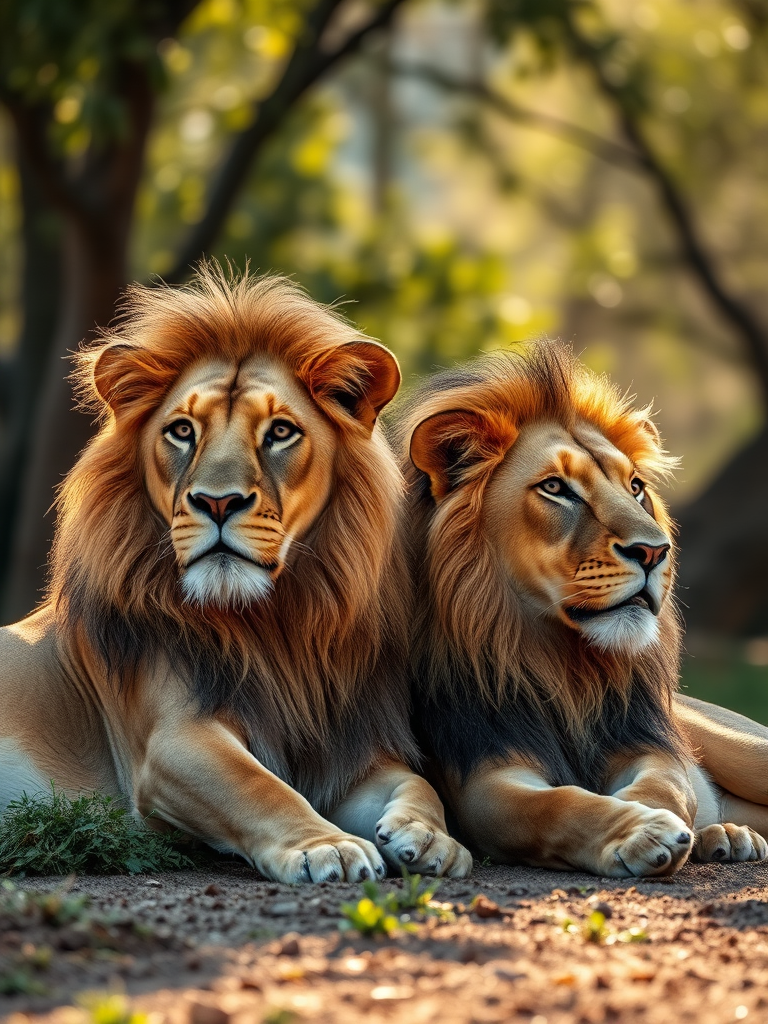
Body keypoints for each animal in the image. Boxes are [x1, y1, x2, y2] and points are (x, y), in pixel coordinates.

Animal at [0, 263, 472, 883]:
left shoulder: (344, 750)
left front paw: (430, 836)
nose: (217, 502)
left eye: (280, 432)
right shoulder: (173, 742)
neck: (276, 624)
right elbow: (259, 788)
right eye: (181, 431)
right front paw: (327, 846)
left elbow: (417, 783)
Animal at [400, 340, 768, 877]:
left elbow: (664, 786)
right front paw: (639, 832)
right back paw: (725, 837)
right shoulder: (485, 779)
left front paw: (650, 819)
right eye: (556, 488)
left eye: (635, 487)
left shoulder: (648, 747)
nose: (655, 551)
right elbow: (555, 805)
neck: (563, 666)